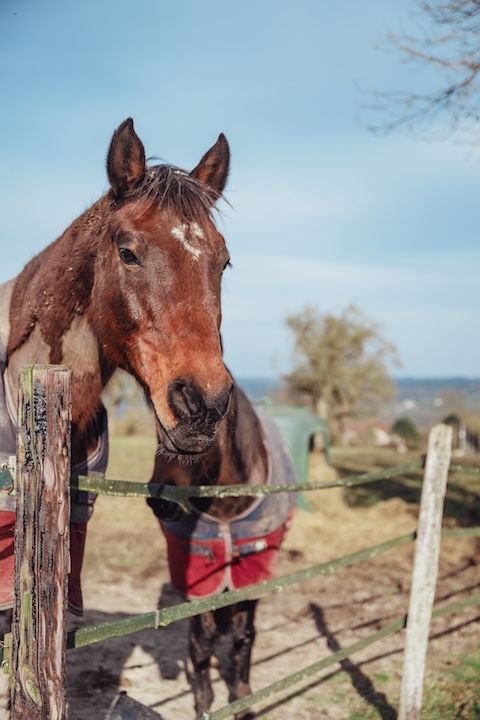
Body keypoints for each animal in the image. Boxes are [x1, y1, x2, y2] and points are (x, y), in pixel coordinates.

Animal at [147, 382, 296, 720]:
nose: (161, 500)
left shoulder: (250, 575)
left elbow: (244, 636)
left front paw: (242, 700)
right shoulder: (201, 577)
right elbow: (202, 640)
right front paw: (204, 702)